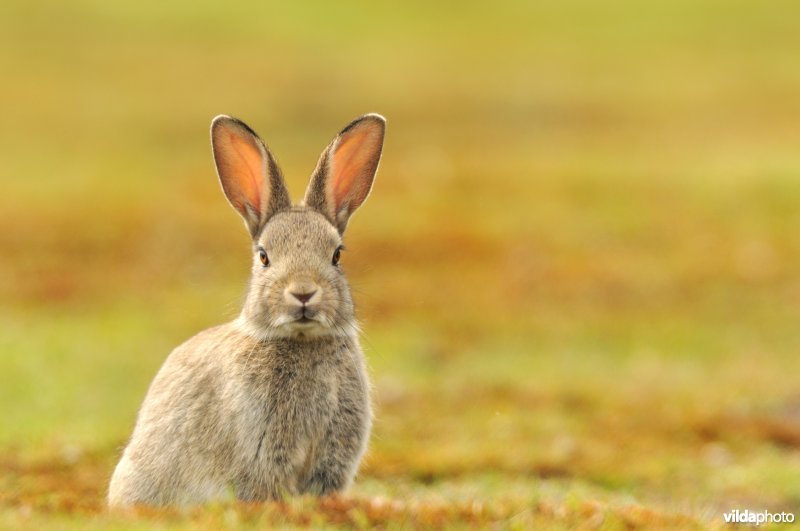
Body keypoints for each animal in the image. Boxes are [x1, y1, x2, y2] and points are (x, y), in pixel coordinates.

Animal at [108, 113, 386, 508]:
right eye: (264, 256)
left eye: (336, 255)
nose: (303, 293)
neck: (302, 340)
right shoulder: (261, 450)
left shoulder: (332, 457)